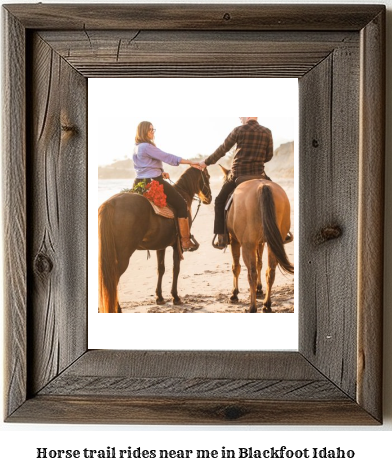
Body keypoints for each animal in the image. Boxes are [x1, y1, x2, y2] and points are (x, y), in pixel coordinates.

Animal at [99, 168, 213, 312]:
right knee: (113, 279)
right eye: (207, 176)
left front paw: (159, 297)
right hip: (122, 256)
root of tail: (110, 204)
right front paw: (175, 297)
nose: (209, 198)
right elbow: (176, 269)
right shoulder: (177, 246)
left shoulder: (161, 245)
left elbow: (161, 269)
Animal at [222, 165, 292, 312]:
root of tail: (262, 186)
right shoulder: (260, 243)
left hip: (247, 246)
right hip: (272, 244)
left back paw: (252, 307)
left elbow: (236, 267)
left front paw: (234, 294)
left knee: (251, 273)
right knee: (270, 271)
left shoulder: (234, 241)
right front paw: (259, 290)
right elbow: (260, 264)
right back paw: (266, 305)